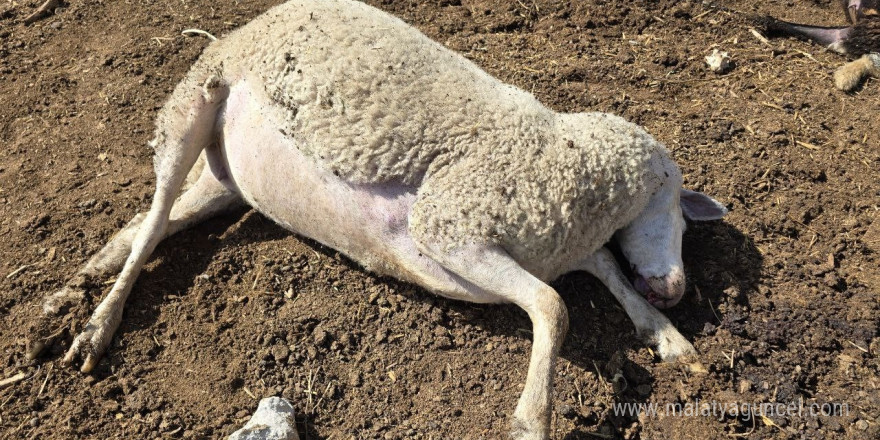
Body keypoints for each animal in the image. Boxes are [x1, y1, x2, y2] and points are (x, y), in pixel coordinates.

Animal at [29, 1, 728, 438]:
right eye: (675, 212)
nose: (676, 289)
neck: (563, 160)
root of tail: (258, 17)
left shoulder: (551, 245)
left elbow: (604, 267)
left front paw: (668, 336)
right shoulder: (450, 229)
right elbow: (556, 307)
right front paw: (533, 420)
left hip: (231, 180)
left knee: (159, 218)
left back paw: (86, 275)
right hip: (194, 100)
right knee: (155, 214)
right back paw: (93, 325)